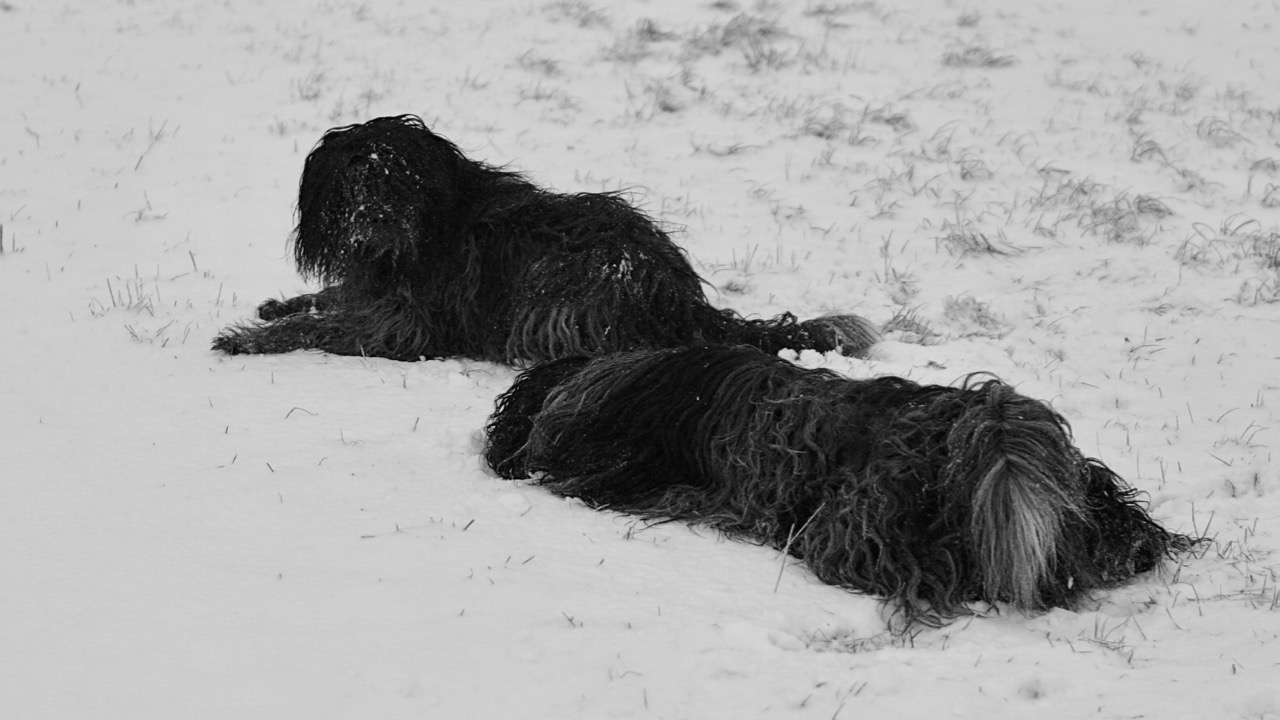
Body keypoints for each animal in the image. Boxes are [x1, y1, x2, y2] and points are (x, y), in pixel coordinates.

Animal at [212, 118, 880, 363]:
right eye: (357, 175)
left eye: (401, 178)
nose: (376, 219)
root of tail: (685, 301)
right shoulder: (373, 294)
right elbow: (327, 302)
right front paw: (279, 304)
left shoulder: (403, 325)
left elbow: (320, 327)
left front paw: (248, 337)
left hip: (562, 287)